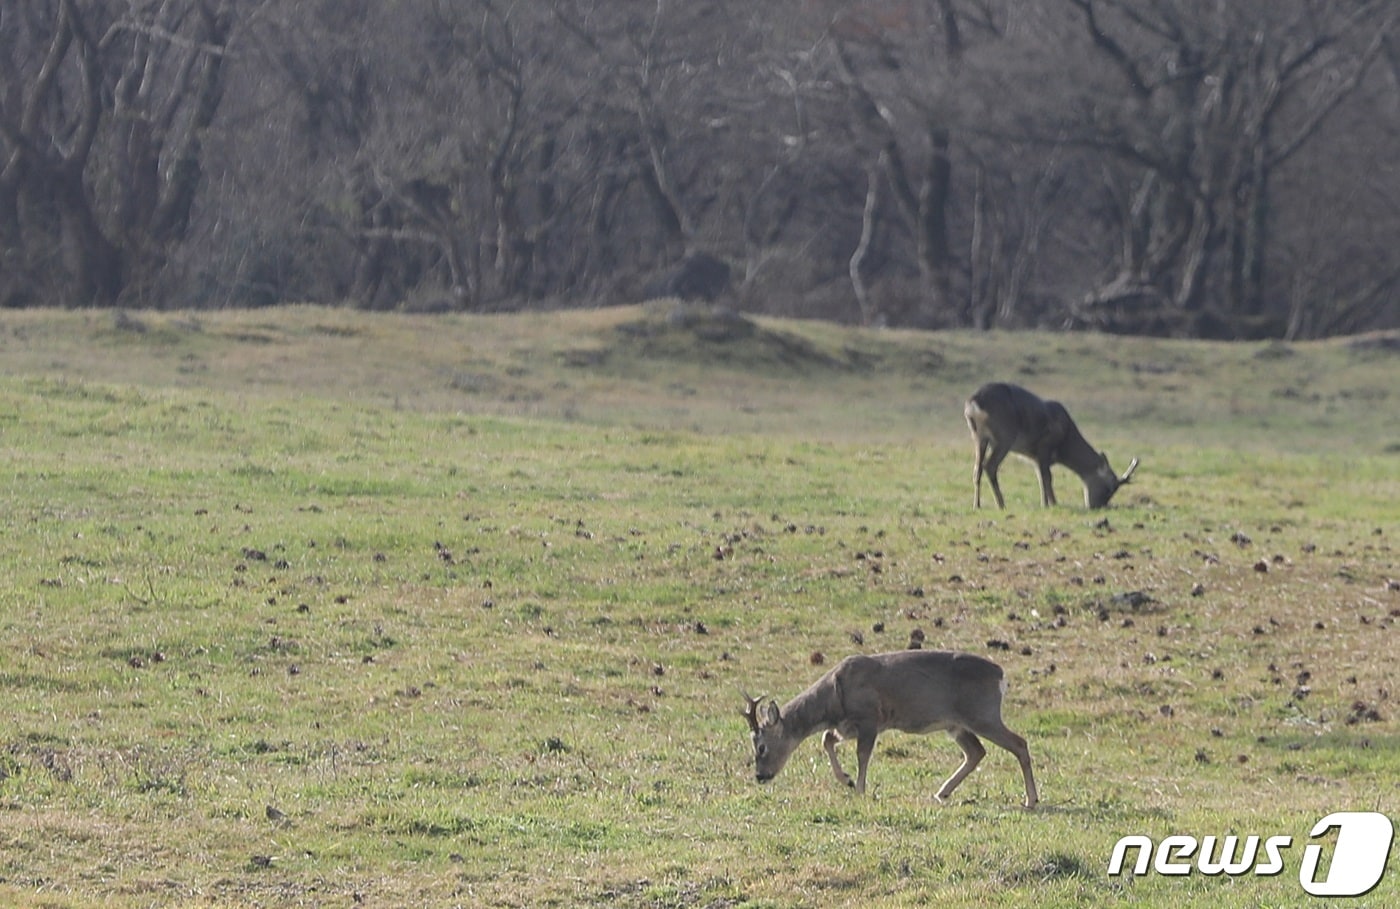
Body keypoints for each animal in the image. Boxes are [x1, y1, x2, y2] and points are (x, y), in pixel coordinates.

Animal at [744, 649, 1041, 806]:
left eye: (762, 746)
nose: (760, 776)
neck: (834, 696)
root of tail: (1001, 675)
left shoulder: (870, 719)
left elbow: (862, 755)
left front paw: (859, 788)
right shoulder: (847, 725)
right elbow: (826, 739)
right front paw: (847, 780)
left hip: (983, 714)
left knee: (1019, 743)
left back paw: (1031, 799)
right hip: (956, 724)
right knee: (976, 752)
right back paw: (941, 792)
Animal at [968, 380, 1142, 509]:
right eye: (1109, 488)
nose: (1097, 506)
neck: (1064, 447)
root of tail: (973, 402)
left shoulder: (1036, 458)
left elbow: (1041, 477)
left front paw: (1048, 502)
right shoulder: (1045, 446)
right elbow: (1047, 477)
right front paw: (1050, 504)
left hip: (979, 437)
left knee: (977, 468)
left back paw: (977, 505)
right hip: (1004, 436)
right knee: (989, 465)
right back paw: (1001, 504)